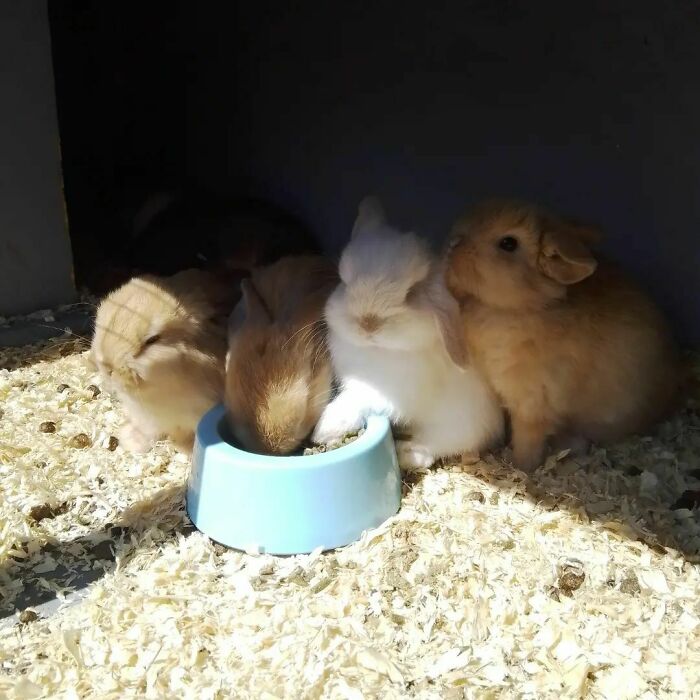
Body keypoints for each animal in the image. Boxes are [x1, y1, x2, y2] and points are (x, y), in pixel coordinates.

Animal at [312, 196, 504, 469]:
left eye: (412, 293)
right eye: (343, 281)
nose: (367, 323)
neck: (378, 350)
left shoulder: (388, 394)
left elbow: (357, 402)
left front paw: (324, 428)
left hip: (461, 423)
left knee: (438, 446)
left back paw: (406, 454)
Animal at [445, 198, 682, 472]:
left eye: (508, 243)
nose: (452, 244)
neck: (526, 306)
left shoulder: (534, 402)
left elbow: (528, 437)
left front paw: (521, 466)